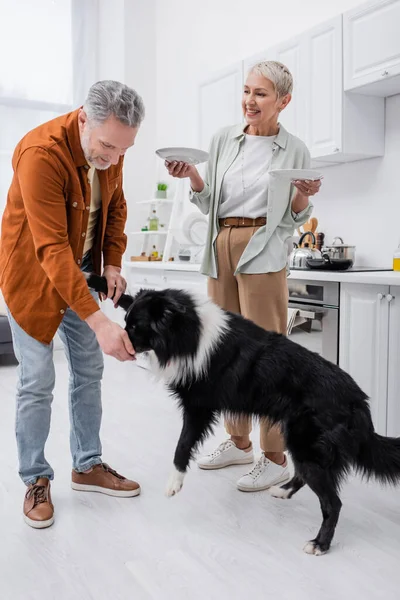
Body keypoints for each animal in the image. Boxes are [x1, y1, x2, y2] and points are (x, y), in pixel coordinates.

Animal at [86, 274, 400, 556]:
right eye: (127, 323)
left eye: (135, 327)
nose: (116, 345)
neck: (189, 330)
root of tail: (359, 403)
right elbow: (127, 296)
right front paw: (97, 279)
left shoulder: (198, 406)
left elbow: (182, 444)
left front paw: (174, 483)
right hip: (299, 439)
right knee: (306, 475)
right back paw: (283, 491)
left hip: (305, 441)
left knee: (332, 502)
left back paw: (319, 544)